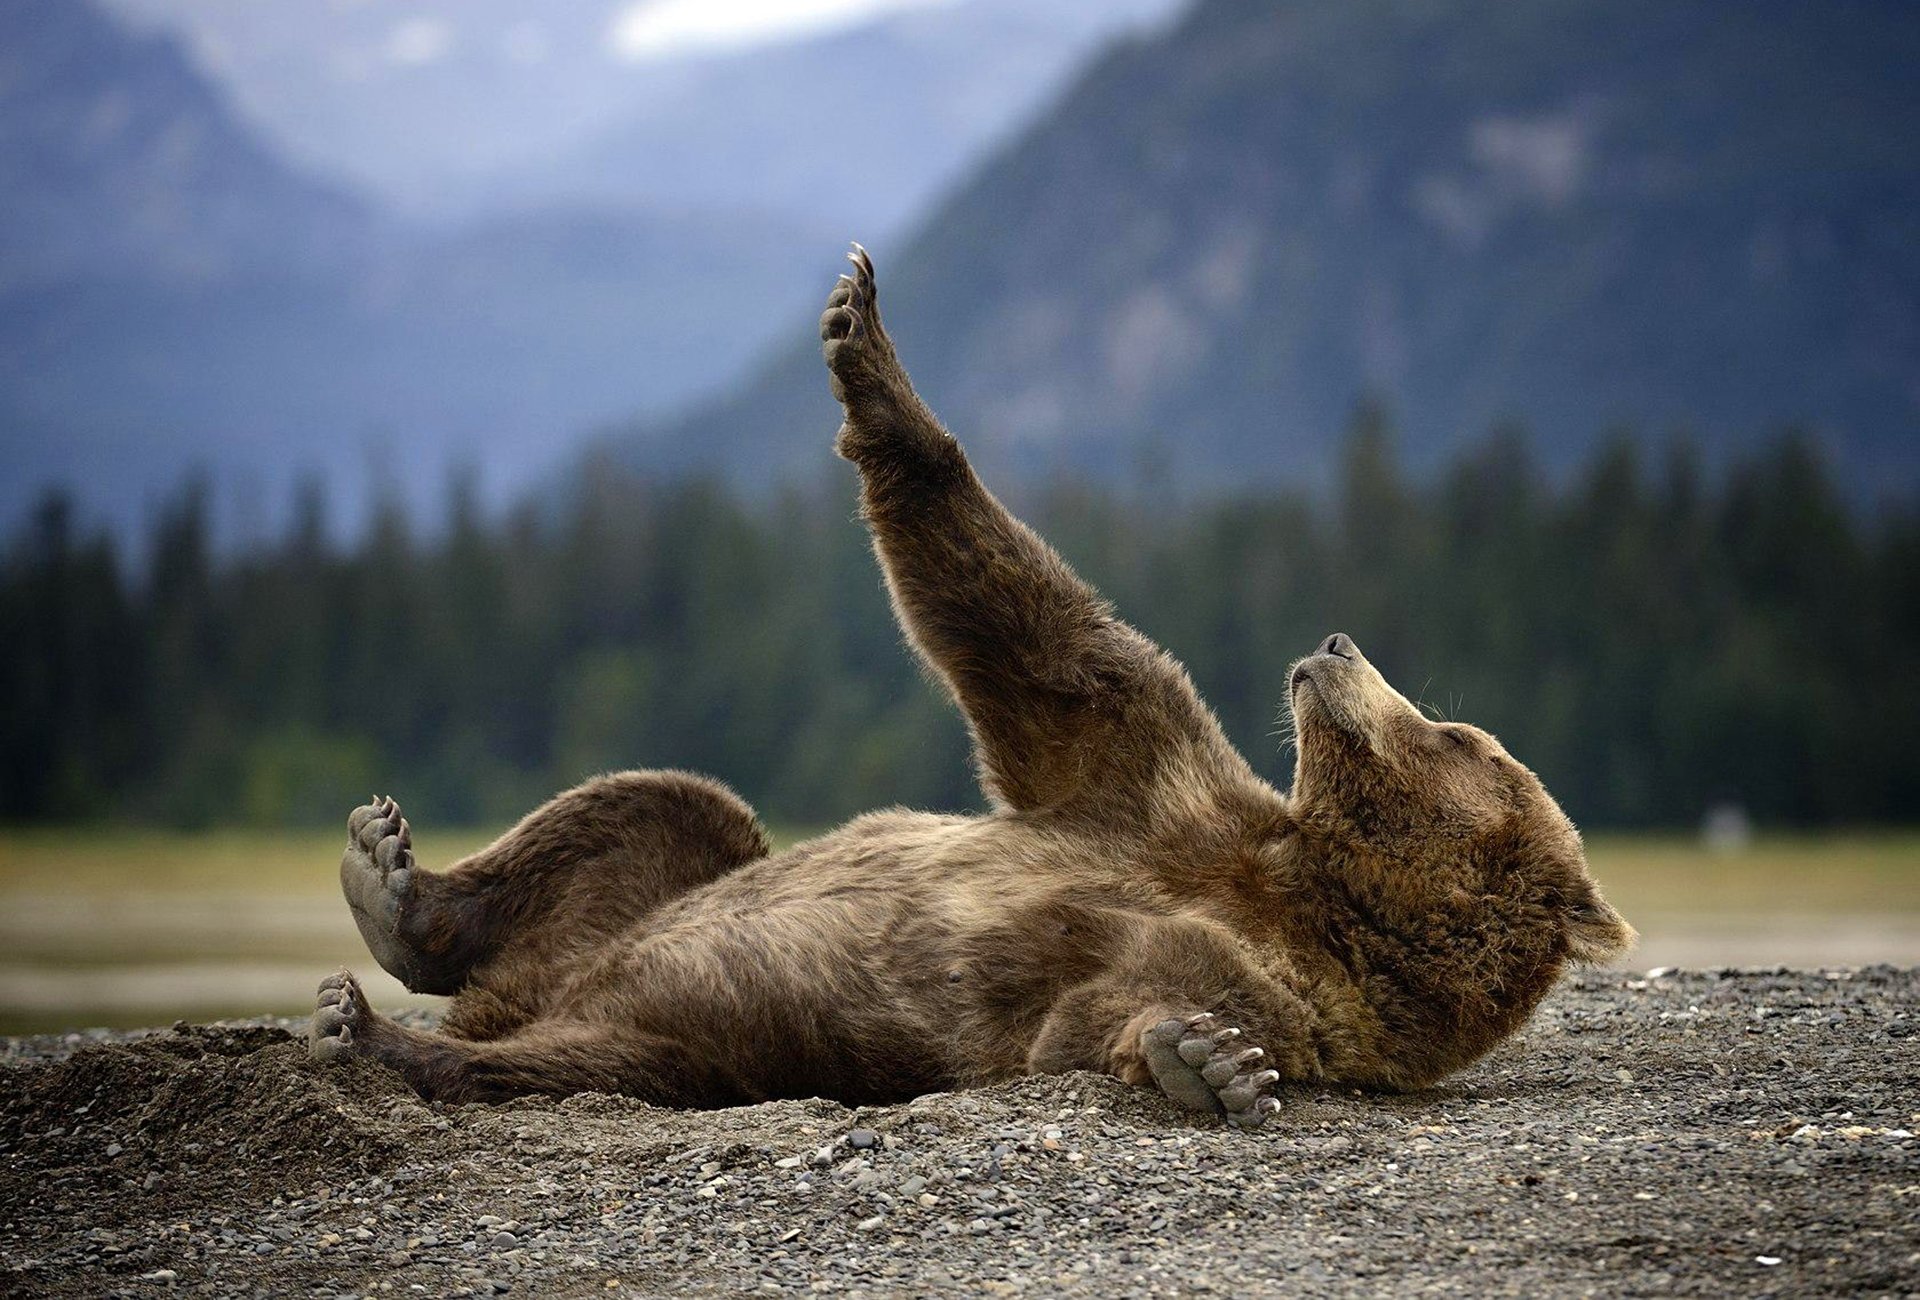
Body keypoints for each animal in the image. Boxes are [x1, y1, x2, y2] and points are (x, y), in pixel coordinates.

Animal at [309, 245, 1635, 1126]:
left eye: (1463, 737)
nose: (1341, 645)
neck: (1314, 886)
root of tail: (528, 994)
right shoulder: (1150, 776)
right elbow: (1035, 636)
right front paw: (861, 334)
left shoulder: (1291, 985)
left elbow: (1111, 1008)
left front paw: (1205, 1059)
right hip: (654, 900)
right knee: (667, 808)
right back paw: (391, 881)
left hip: (708, 1039)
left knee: (584, 1060)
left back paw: (379, 1035)